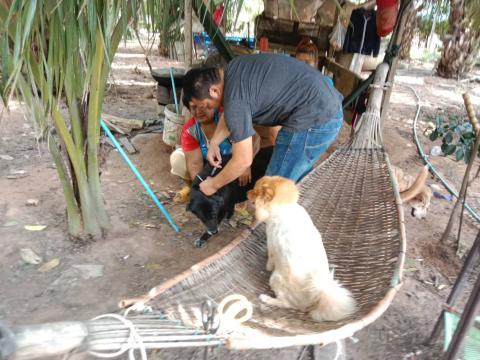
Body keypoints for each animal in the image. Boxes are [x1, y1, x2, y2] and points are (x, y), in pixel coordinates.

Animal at [248, 176, 356, 322]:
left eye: (254, 191)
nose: (247, 192)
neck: (285, 208)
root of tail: (316, 296)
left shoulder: (271, 243)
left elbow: (270, 258)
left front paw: (268, 266)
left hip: (275, 279)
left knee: (286, 303)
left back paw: (266, 298)